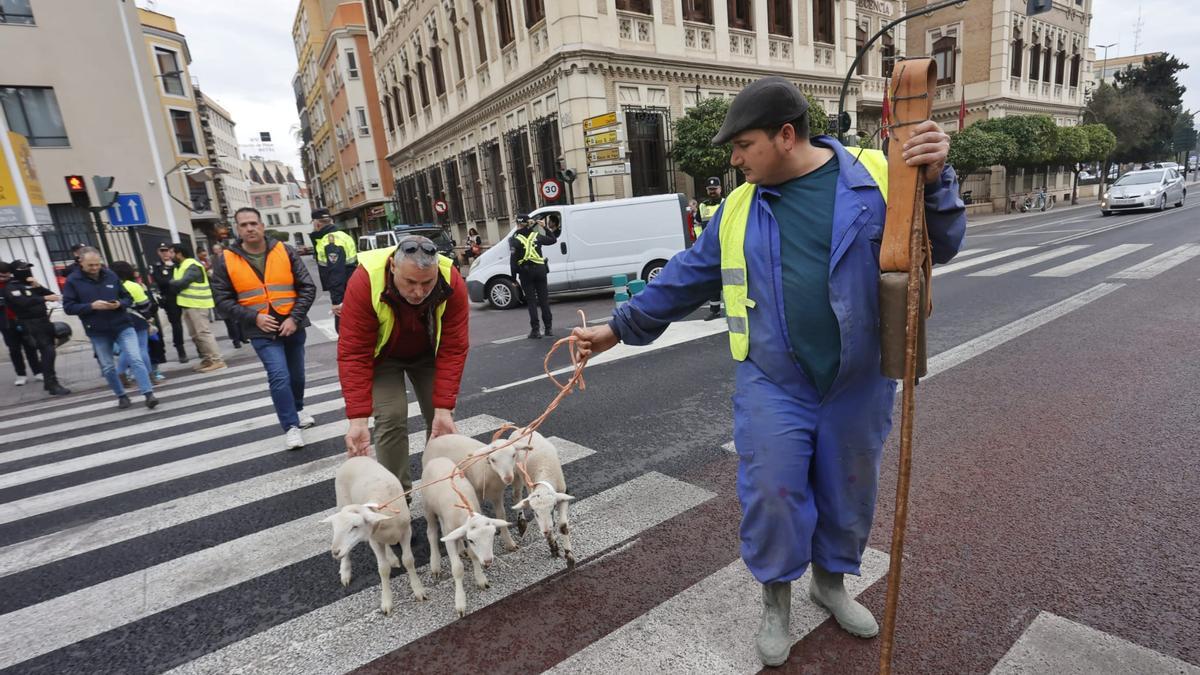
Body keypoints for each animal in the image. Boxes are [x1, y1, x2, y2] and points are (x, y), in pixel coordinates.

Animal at [321, 454, 429, 612]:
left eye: (355, 526)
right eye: (335, 528)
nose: (334, 552)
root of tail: (354, 458)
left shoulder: (405, 532)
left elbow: (408, 560)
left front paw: (418, 590)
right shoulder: (374, 540)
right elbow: (383, 569)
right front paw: (387, 601)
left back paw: (391, 557)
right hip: (341, 500)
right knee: (347, 554)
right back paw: (345, 571)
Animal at [422, 451, 511, 614]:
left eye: (493, 536)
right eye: (472, 540)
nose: (488, 562)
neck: (465, 512)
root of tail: (437, 460)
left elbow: (474, 556)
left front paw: (481, 579)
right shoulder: (452, 540)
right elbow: (457, 569)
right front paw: (460, 602)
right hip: (428, 508)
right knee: (431, 532)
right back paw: (435, 564)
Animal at [508, 427, 578, 564]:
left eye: (552, 509)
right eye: (535, 513)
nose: (545, 531)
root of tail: (521, 429)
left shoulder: (562, 494)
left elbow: (563, 526)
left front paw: (569, 557)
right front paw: (553, 547)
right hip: (516, 473)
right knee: (516, 494)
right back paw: (521, 523)